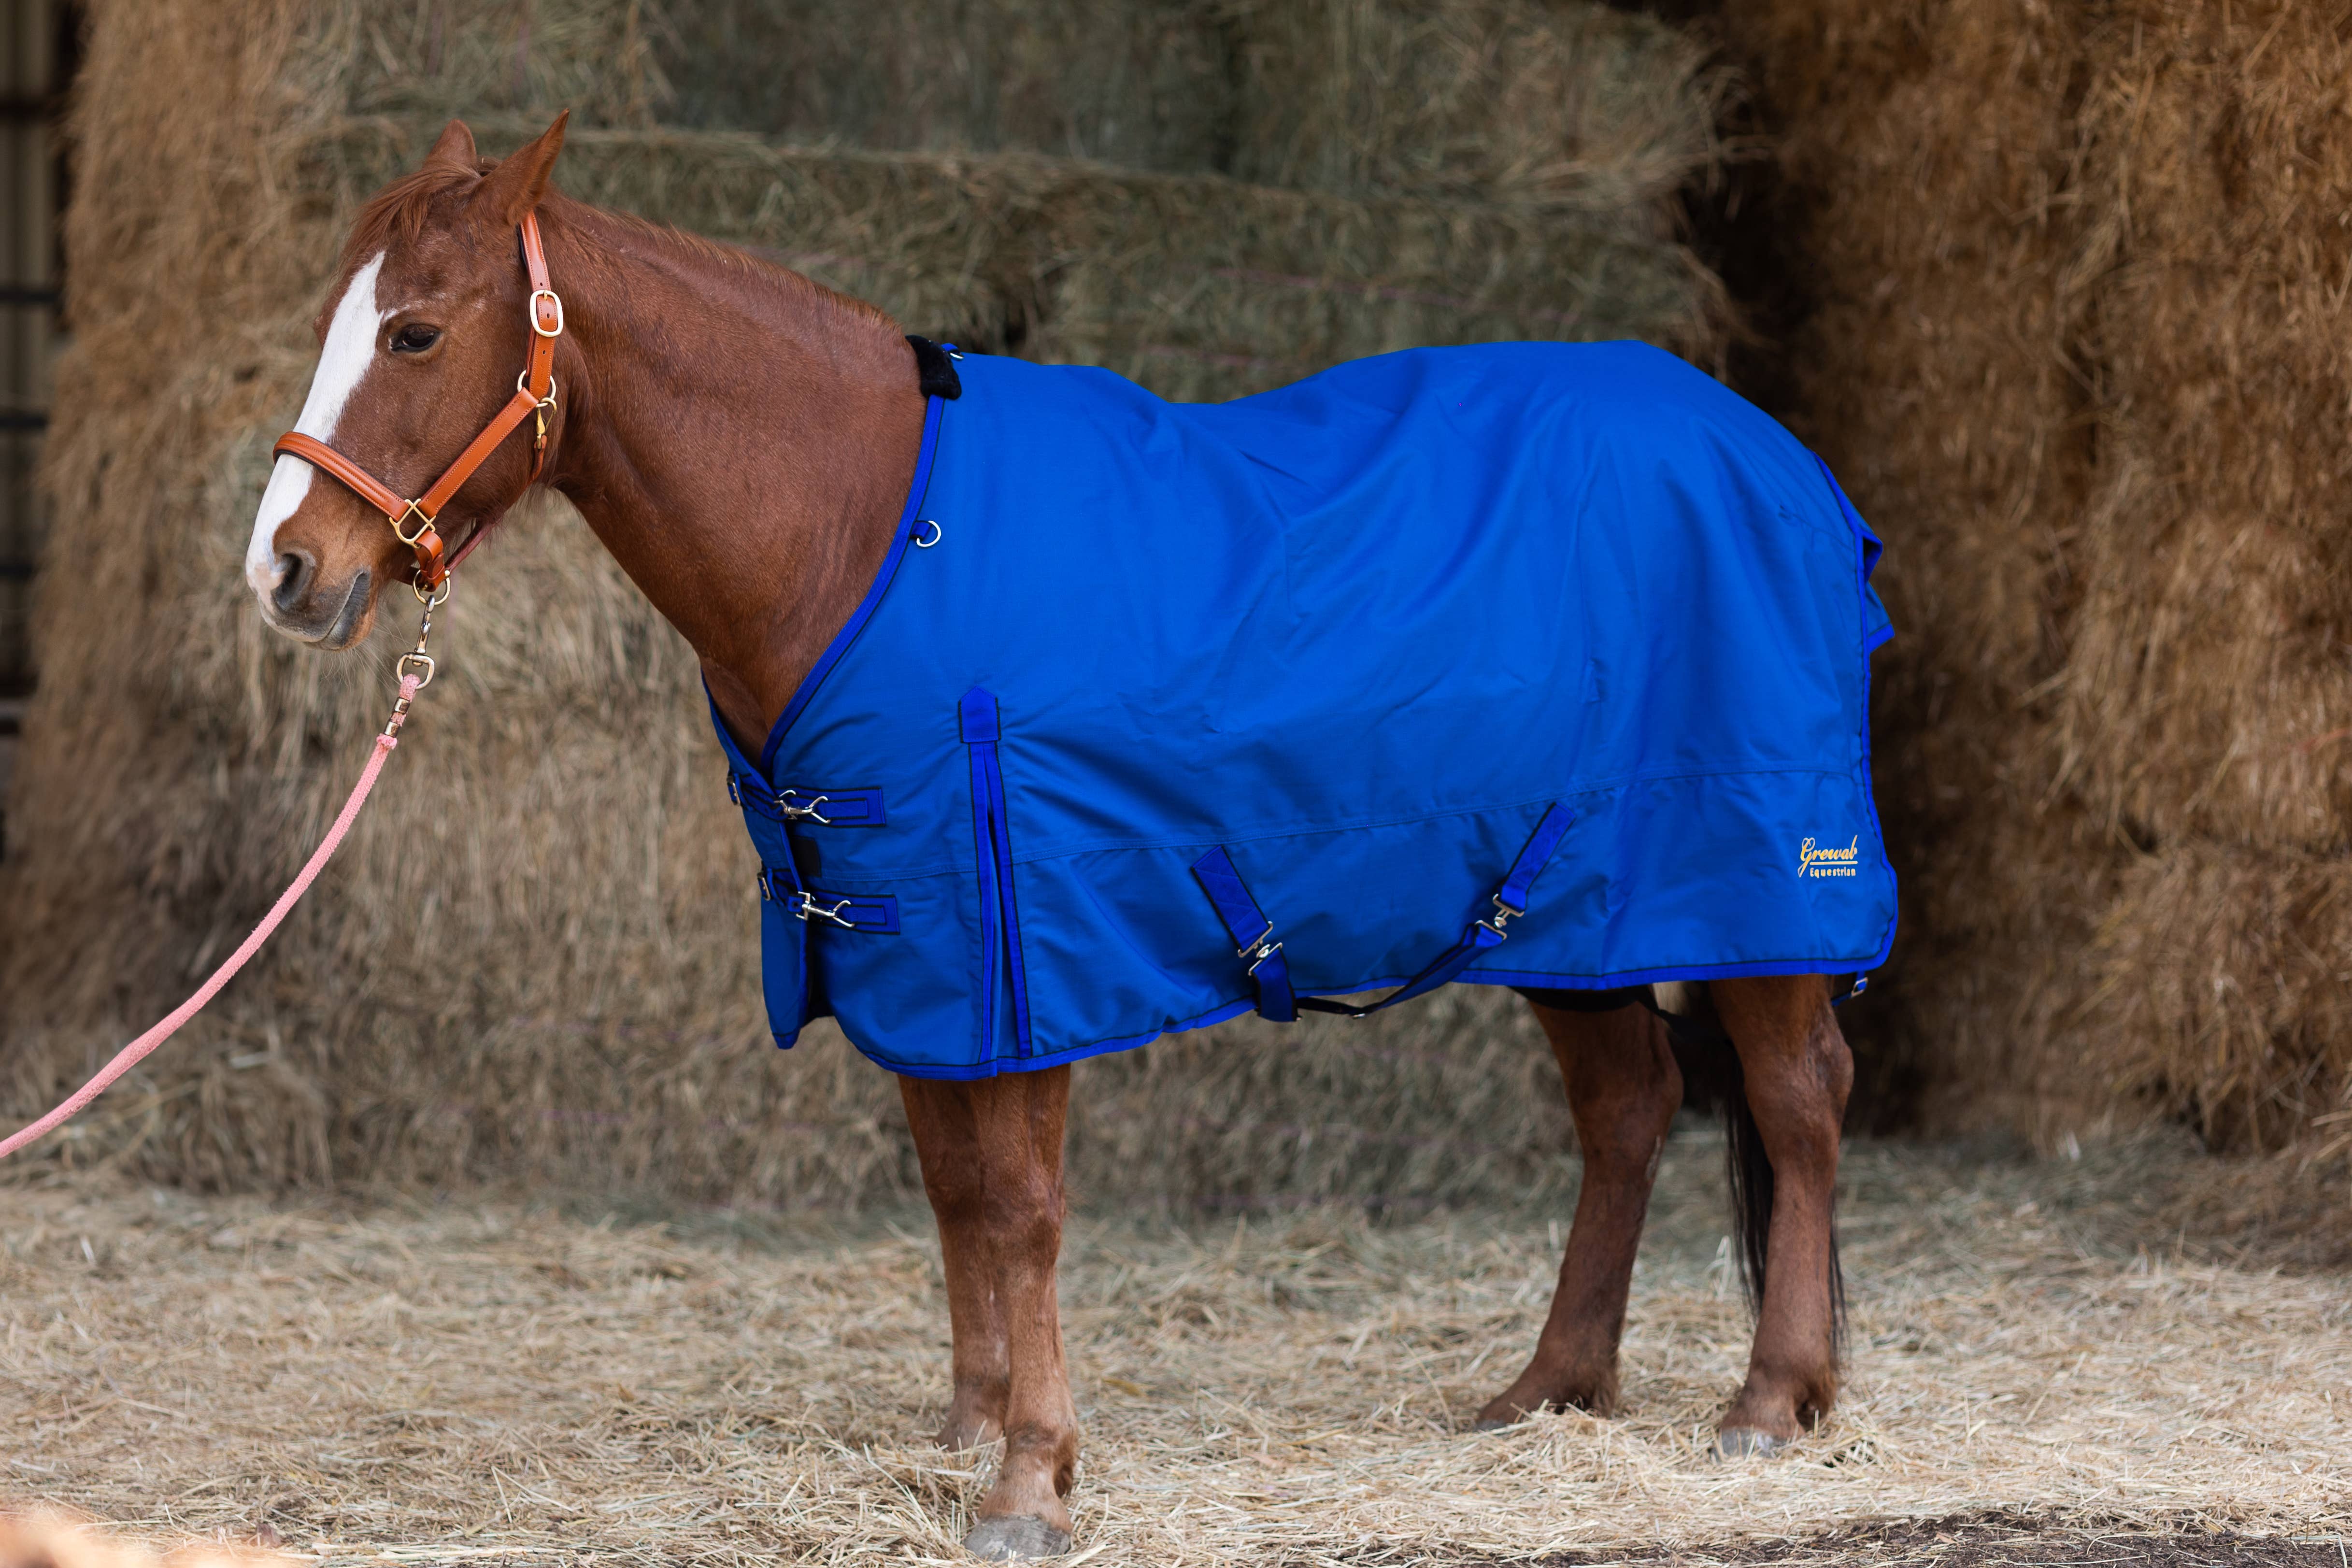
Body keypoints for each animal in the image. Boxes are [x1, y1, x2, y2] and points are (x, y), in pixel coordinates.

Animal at [246, 115, 1879, 1562]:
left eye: (415, 333)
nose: (285, 568)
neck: (864, 531)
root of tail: (1777, 458)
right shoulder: (909, 941)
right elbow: (955, 1189)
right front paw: (969, 1428)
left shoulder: (1016, 940)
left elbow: (1020, 1208)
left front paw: (1030, 1477)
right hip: (1566, 904)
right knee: (1628, 1106)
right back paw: (1551, 1388)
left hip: (1755, 883)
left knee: (1797, 1098)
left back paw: (1769, 1398)